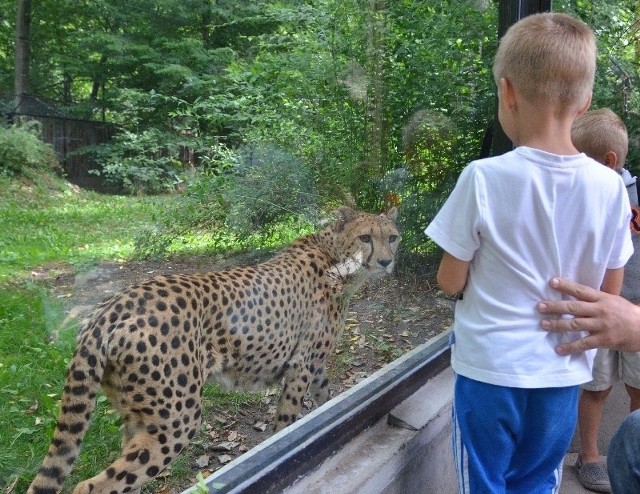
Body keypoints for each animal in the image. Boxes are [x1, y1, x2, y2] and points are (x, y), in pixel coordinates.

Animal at [30, 206, 400, 494]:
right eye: (366, 237)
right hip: (175, 420)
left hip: (139, 416)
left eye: (392, 237)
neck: (335, 255)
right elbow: (287, 422)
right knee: (93, 485)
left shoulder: (316, 365)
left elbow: (327, 400)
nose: (386, 261)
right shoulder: (300, 366)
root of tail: (112, 307)